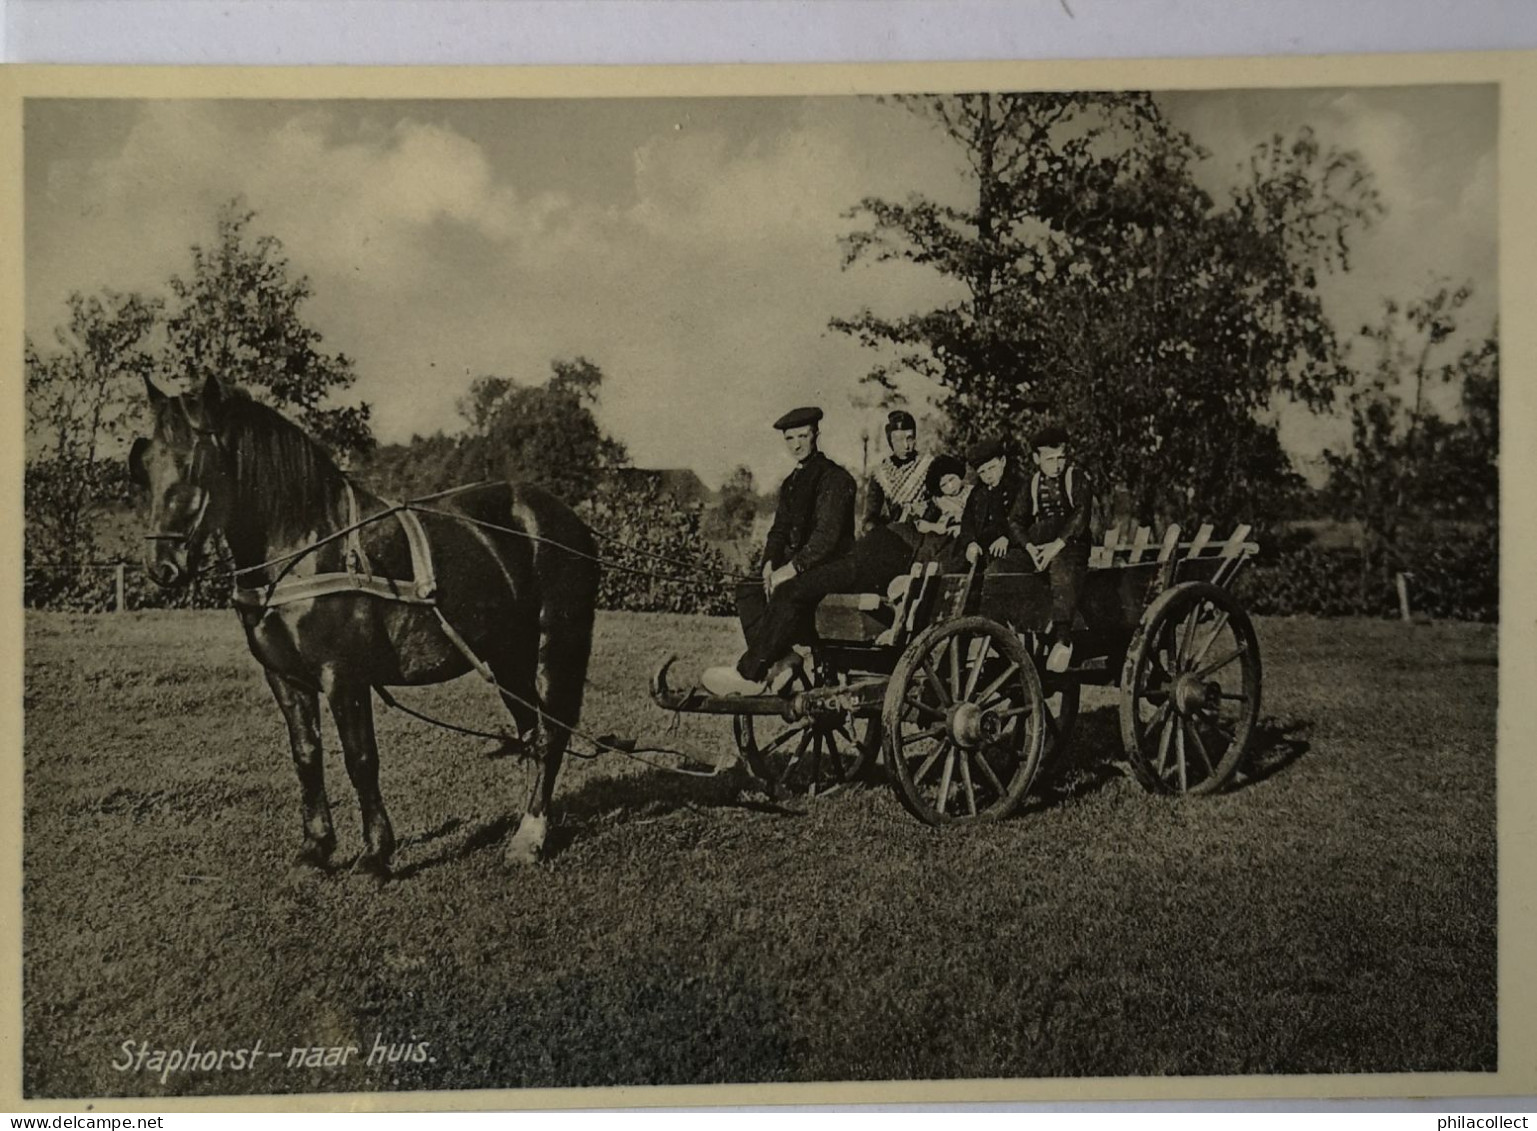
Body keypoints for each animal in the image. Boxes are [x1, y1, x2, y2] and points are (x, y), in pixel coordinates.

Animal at [129, 374, 602, 878]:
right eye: (146, 465)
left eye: (194, 462)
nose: (162, 566)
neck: (305, 547)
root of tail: (564, 518)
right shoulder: (285, 678)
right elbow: (307, 756)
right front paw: (315, 849)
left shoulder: (343, 676)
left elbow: (360, 759)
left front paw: (375, 855)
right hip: (506, 655)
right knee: (532, 732)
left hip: (556, 643)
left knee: (550, 734)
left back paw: (530, 837)